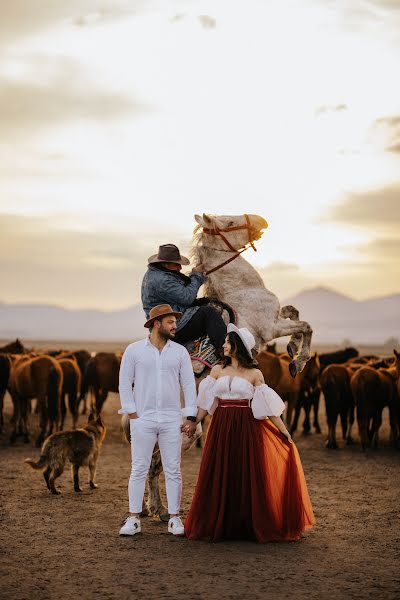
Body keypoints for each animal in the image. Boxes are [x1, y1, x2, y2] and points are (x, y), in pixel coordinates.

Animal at [191, 216, 312, 376]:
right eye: (230, 222)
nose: (261, 219)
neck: (242, 288)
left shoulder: (275, 316)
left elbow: (293, 311)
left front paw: (292, 347)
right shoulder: (271, 328)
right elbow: (306, 326)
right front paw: (297, 363)